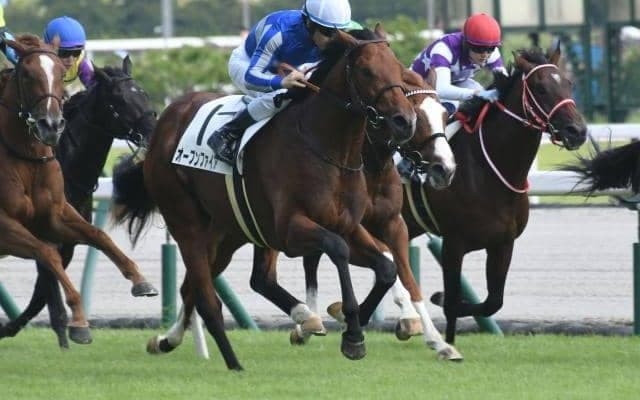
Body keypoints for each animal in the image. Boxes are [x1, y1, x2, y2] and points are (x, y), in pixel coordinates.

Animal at [0, 56, 157, 347]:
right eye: (119, 101)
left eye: (144, 94)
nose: (153, 133)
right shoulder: (29, 236)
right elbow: (48, 284)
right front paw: (70, 328)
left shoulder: (65, 237)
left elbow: (43, 292)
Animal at [112, 26, 417, 371]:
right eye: (366, 71)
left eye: (399, 68)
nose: (404, 121)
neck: (327, 149)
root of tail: (166, 121)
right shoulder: (292, 229)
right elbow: (337, 250)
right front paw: (352, 332)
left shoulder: (348, 225)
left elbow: (387, 268)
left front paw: (353, 324)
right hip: (186, 222)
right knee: (207, 297)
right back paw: (234, 363)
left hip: (229, 231)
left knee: (214, 284)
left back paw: (169, 340)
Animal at [395, 47, 587, 349]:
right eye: (540, 88)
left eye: (569, 83)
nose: (577, 131)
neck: (488, 169)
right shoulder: (453, 243)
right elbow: (452, 302)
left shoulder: (502, 243)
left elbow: (492, 302)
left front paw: (440, 300)